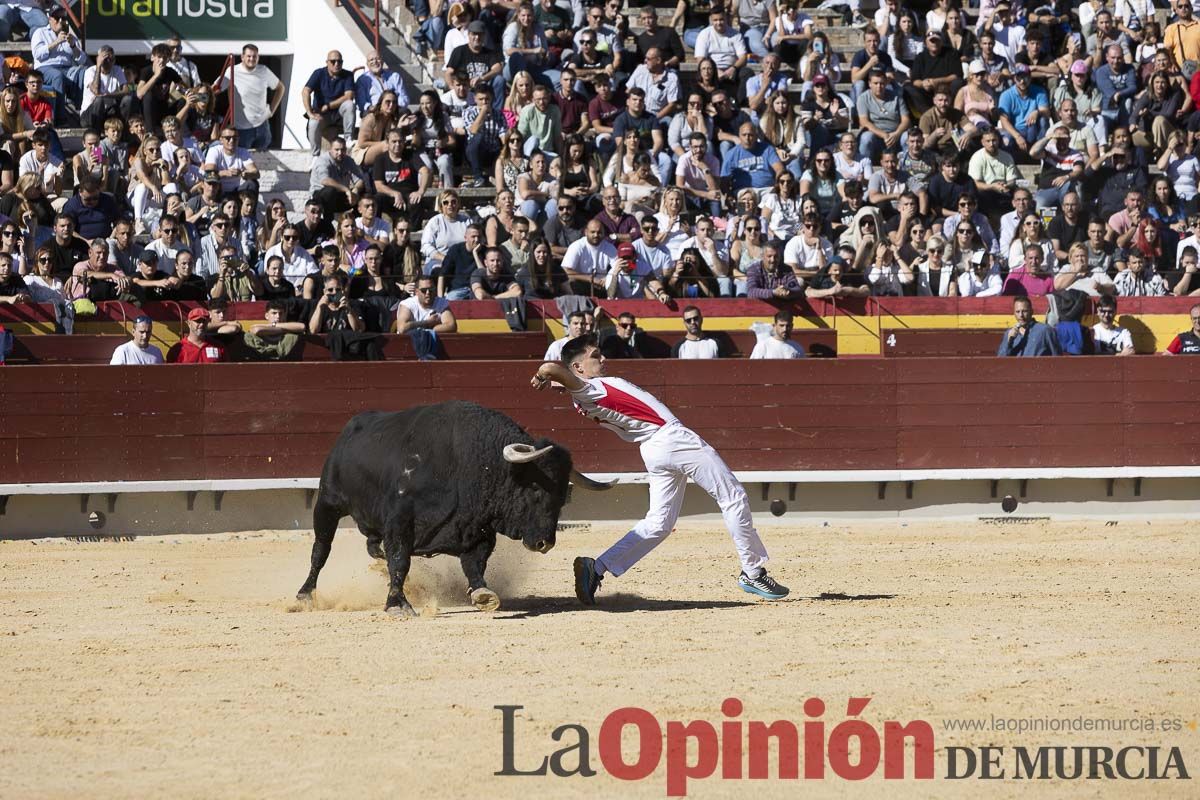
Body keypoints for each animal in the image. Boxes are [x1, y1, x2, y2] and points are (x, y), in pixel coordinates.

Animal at [291, 400, 609, 618]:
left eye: (563, 496)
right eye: (534, 489)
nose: (545, 543)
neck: (472, 463)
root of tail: (348, 431)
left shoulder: (478, 530)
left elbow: (475, 563)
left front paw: (483, 594)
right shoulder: (400, 522)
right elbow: (400, 561)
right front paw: (398, 604)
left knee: (372, 546)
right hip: (327, 504)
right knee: (320, 551)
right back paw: (304, 595)